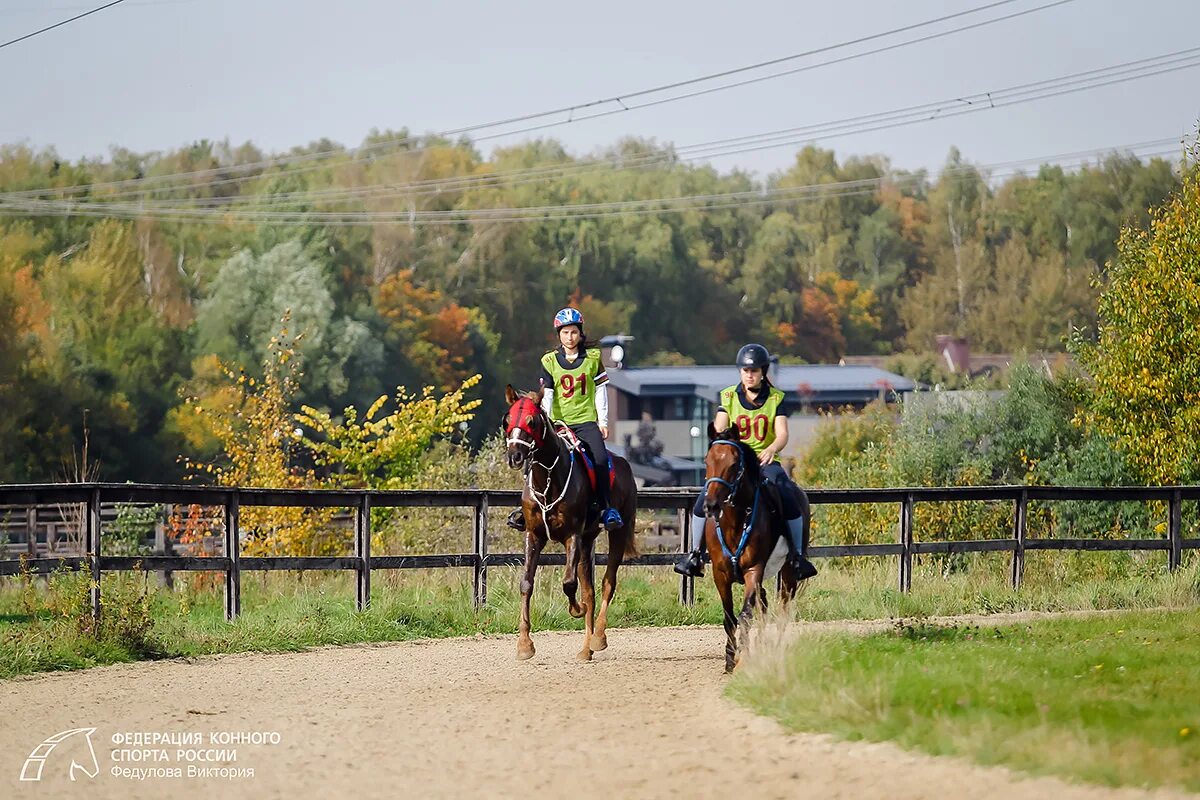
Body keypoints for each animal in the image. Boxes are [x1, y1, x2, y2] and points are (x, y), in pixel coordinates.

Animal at [504, 383, 638, 662]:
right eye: (507, 420)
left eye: (532, 421)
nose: (515, 456)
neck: (547, 478)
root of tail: (624, 464)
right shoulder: (534, 535)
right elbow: (526, 583)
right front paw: (524, 645)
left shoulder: (572, 536)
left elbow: (568, 582)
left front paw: (576, 610)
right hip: (588, 542)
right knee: (590, 591)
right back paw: (586, 649)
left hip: (616, 534)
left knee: (608, 583)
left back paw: (598, 637)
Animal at [700, 422, 801, 671]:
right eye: (707, 461)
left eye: (734, 464)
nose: (711, 505)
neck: (735, 523)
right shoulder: (720, 574)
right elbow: (729, 617)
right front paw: (729, 658)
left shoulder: (753, 571)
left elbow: (746, 615)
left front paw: (743, 658)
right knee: (764, 604)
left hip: (788, 574)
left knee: (782, 610)